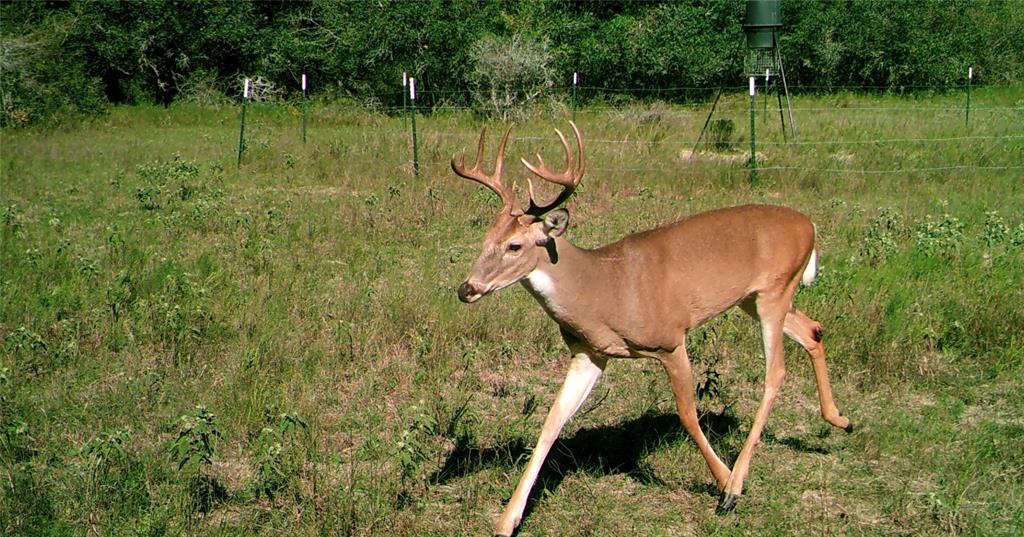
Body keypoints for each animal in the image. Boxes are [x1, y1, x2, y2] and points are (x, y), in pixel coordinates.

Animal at [452, 122, 851, 537]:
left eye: (514, 245)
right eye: (485, 240)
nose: (467, 289)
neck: (602, 290)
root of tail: (810, 225)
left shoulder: (670, 340)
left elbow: (687, 413)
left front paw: (724, 483)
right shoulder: (590, 353)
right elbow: (551, 423)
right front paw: (506, 520)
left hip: (774, 291)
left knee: (776, 371)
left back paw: (737, 483)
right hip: (754, 298)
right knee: (814, 330)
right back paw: (841, 419)